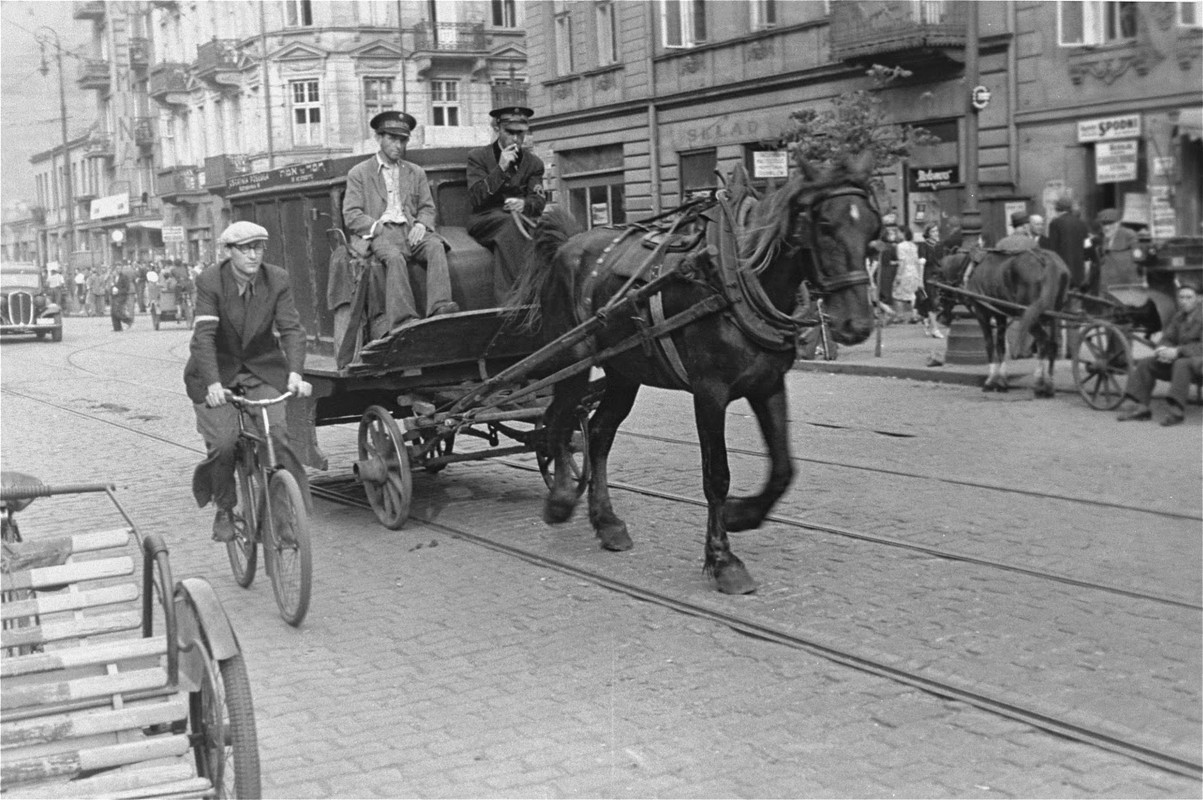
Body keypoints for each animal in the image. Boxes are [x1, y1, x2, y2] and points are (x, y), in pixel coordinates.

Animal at [512, 156, 880, 591]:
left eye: (874, 229)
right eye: (824, 225)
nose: (857, 324)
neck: (734, 278)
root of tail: (569, 245)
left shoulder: (768, 385)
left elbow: (783, 468)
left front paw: (741, 516)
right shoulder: (709, 393)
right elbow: (716, 475)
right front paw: (722, 559)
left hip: (624, 372)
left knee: (598, 434)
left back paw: (606, 522)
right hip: (573, 361)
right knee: (558, 423)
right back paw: (561, 500)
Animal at [938, 243, 1073, 392]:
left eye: (940, 274)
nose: (941, 317)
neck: (971, 268)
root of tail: (1047, 260)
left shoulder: (982, 312)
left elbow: (989, 344)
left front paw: (991, 380)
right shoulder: (1000, 315)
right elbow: (1000, 345)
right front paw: (1002, 380)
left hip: (1028, 314)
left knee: (1043, 340)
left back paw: (1039, 381)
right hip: (1054, 314)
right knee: (1053, 344)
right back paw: (1049, 383)